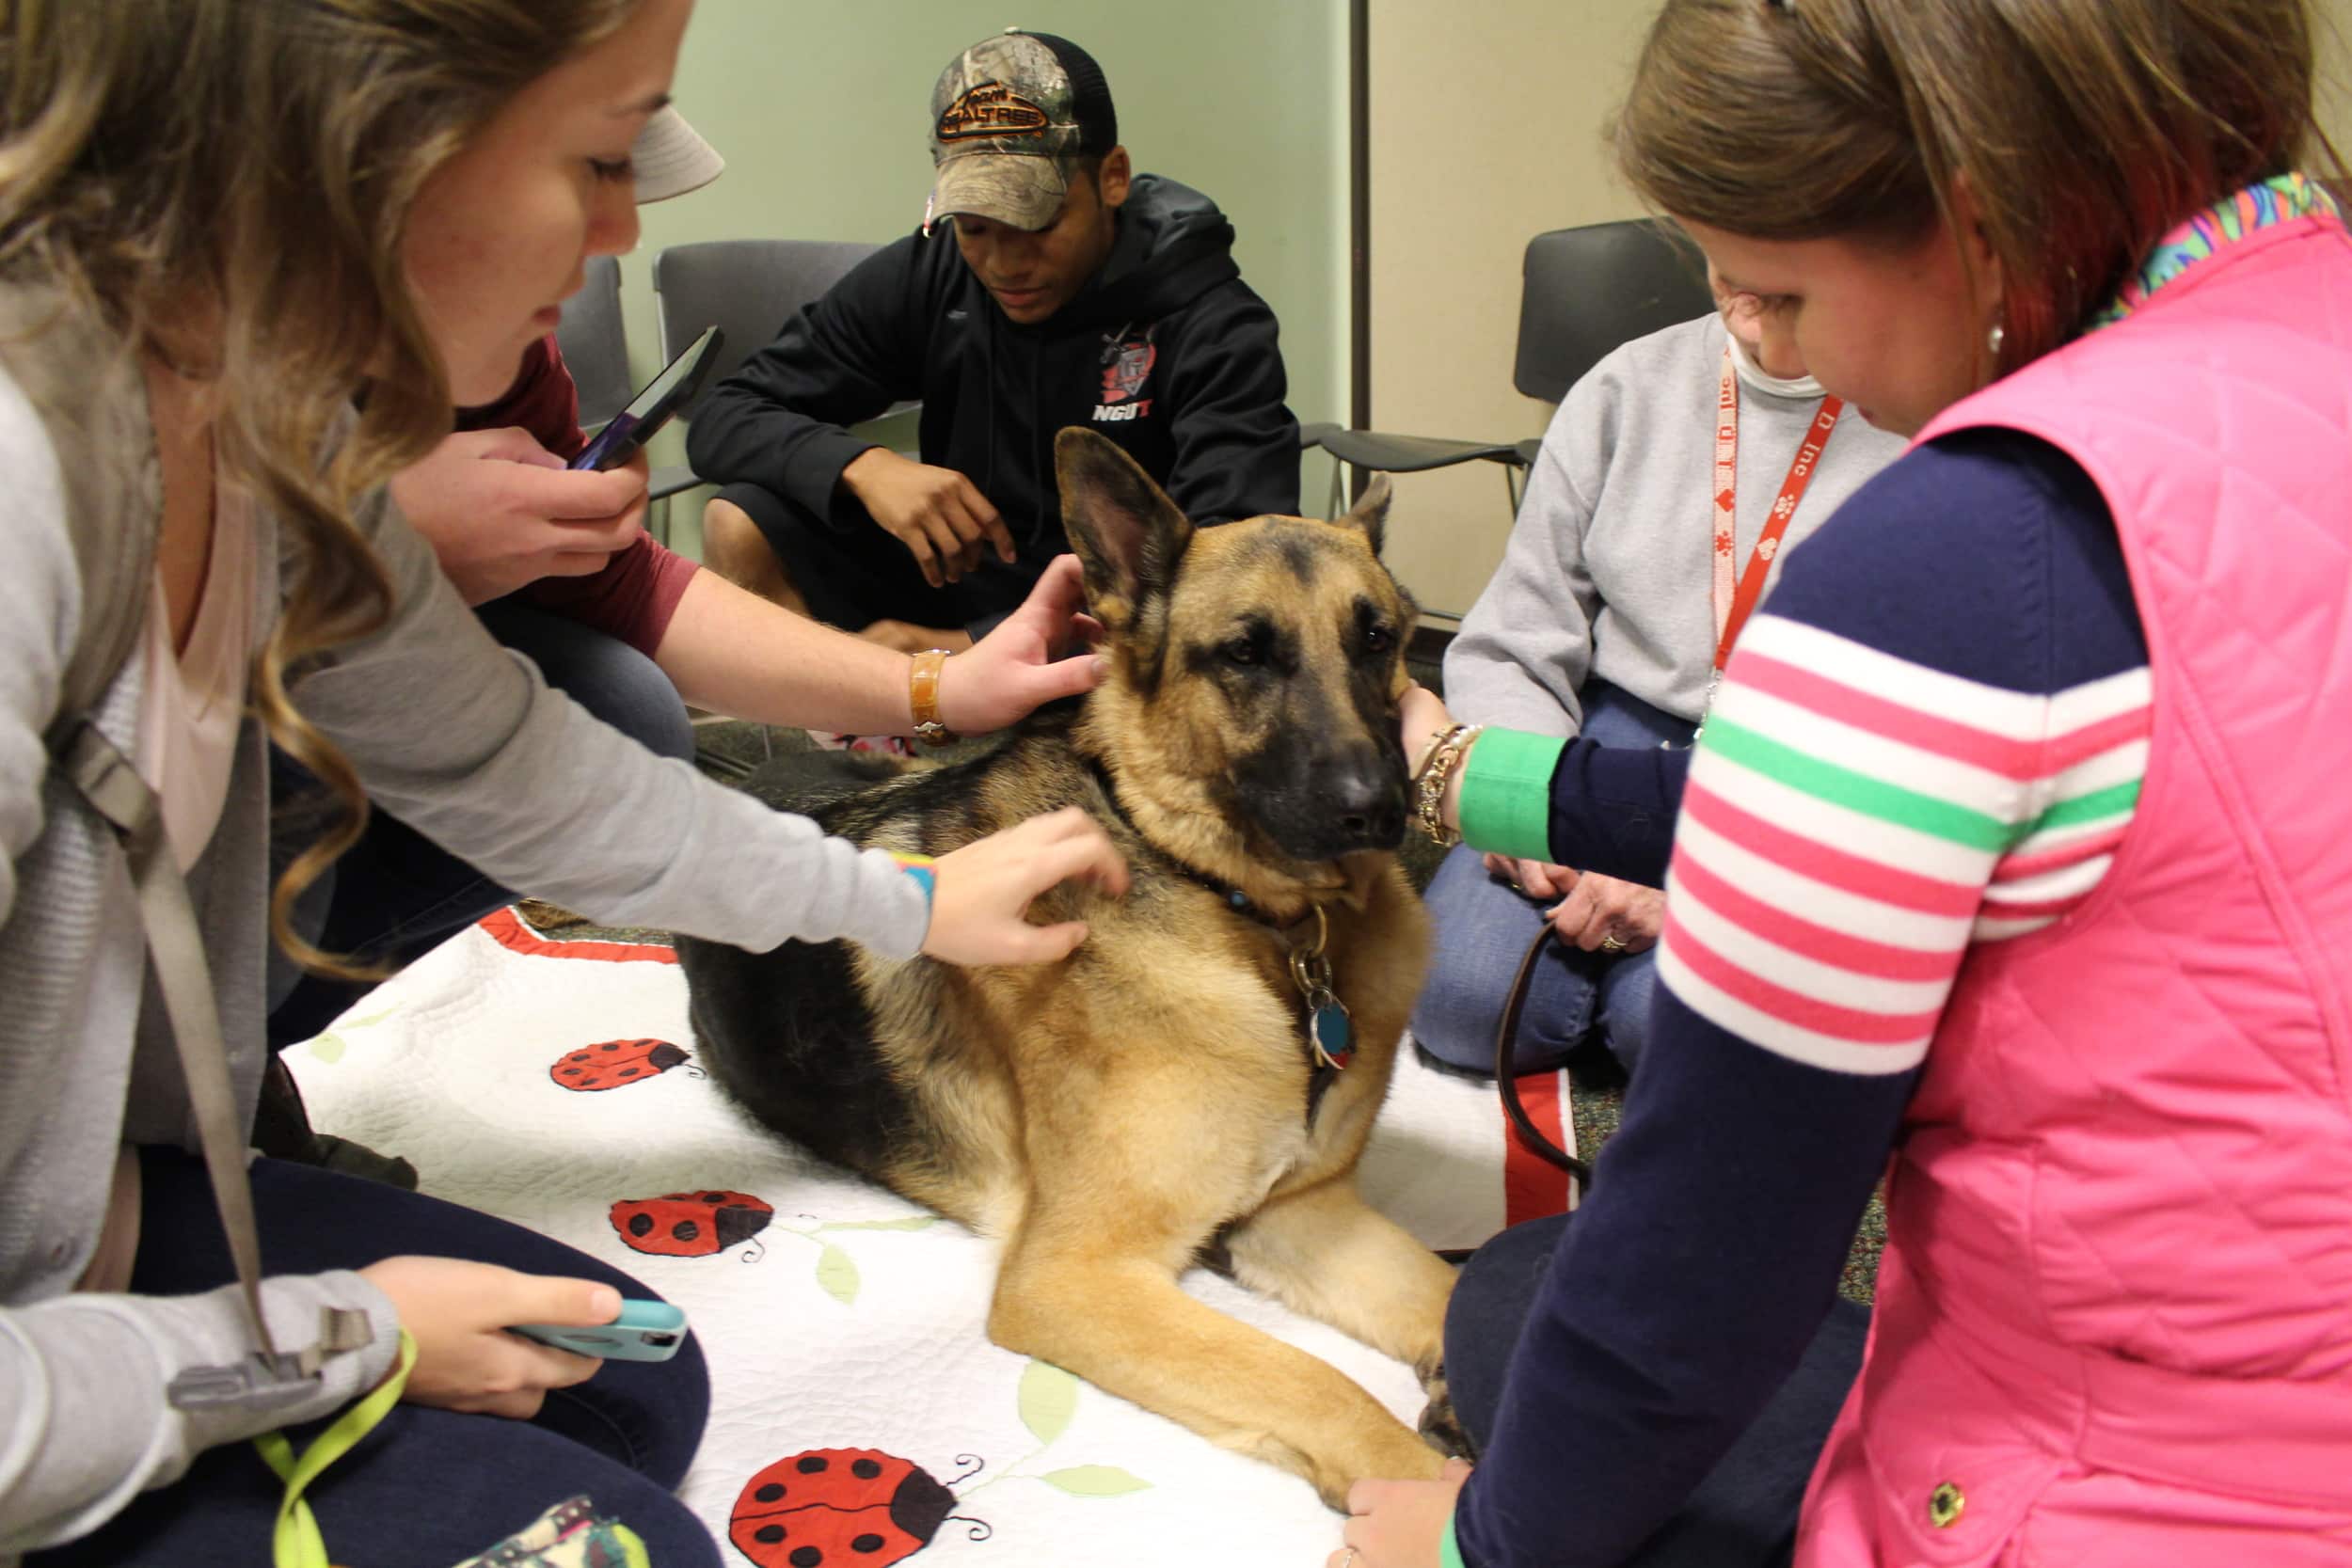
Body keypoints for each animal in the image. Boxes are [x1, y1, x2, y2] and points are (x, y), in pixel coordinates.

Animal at [673, 430, 1458, 1504]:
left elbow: (1458, 1288)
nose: (1377, 808)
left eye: (1377, 640)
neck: (1252, 918)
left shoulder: (1302, 1211)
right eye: (1245, 653)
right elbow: (1316, 1382)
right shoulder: (1076, 1277)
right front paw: (1430, 1496)